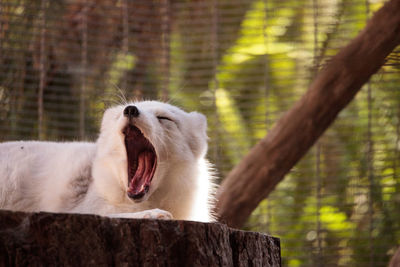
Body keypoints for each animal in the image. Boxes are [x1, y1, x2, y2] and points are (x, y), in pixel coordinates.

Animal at [0, 100, 216, 222]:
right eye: (120, 114)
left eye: (164, 118)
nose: (130, 110)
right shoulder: (80, 209)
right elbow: (109, 214)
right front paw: (153, 214)